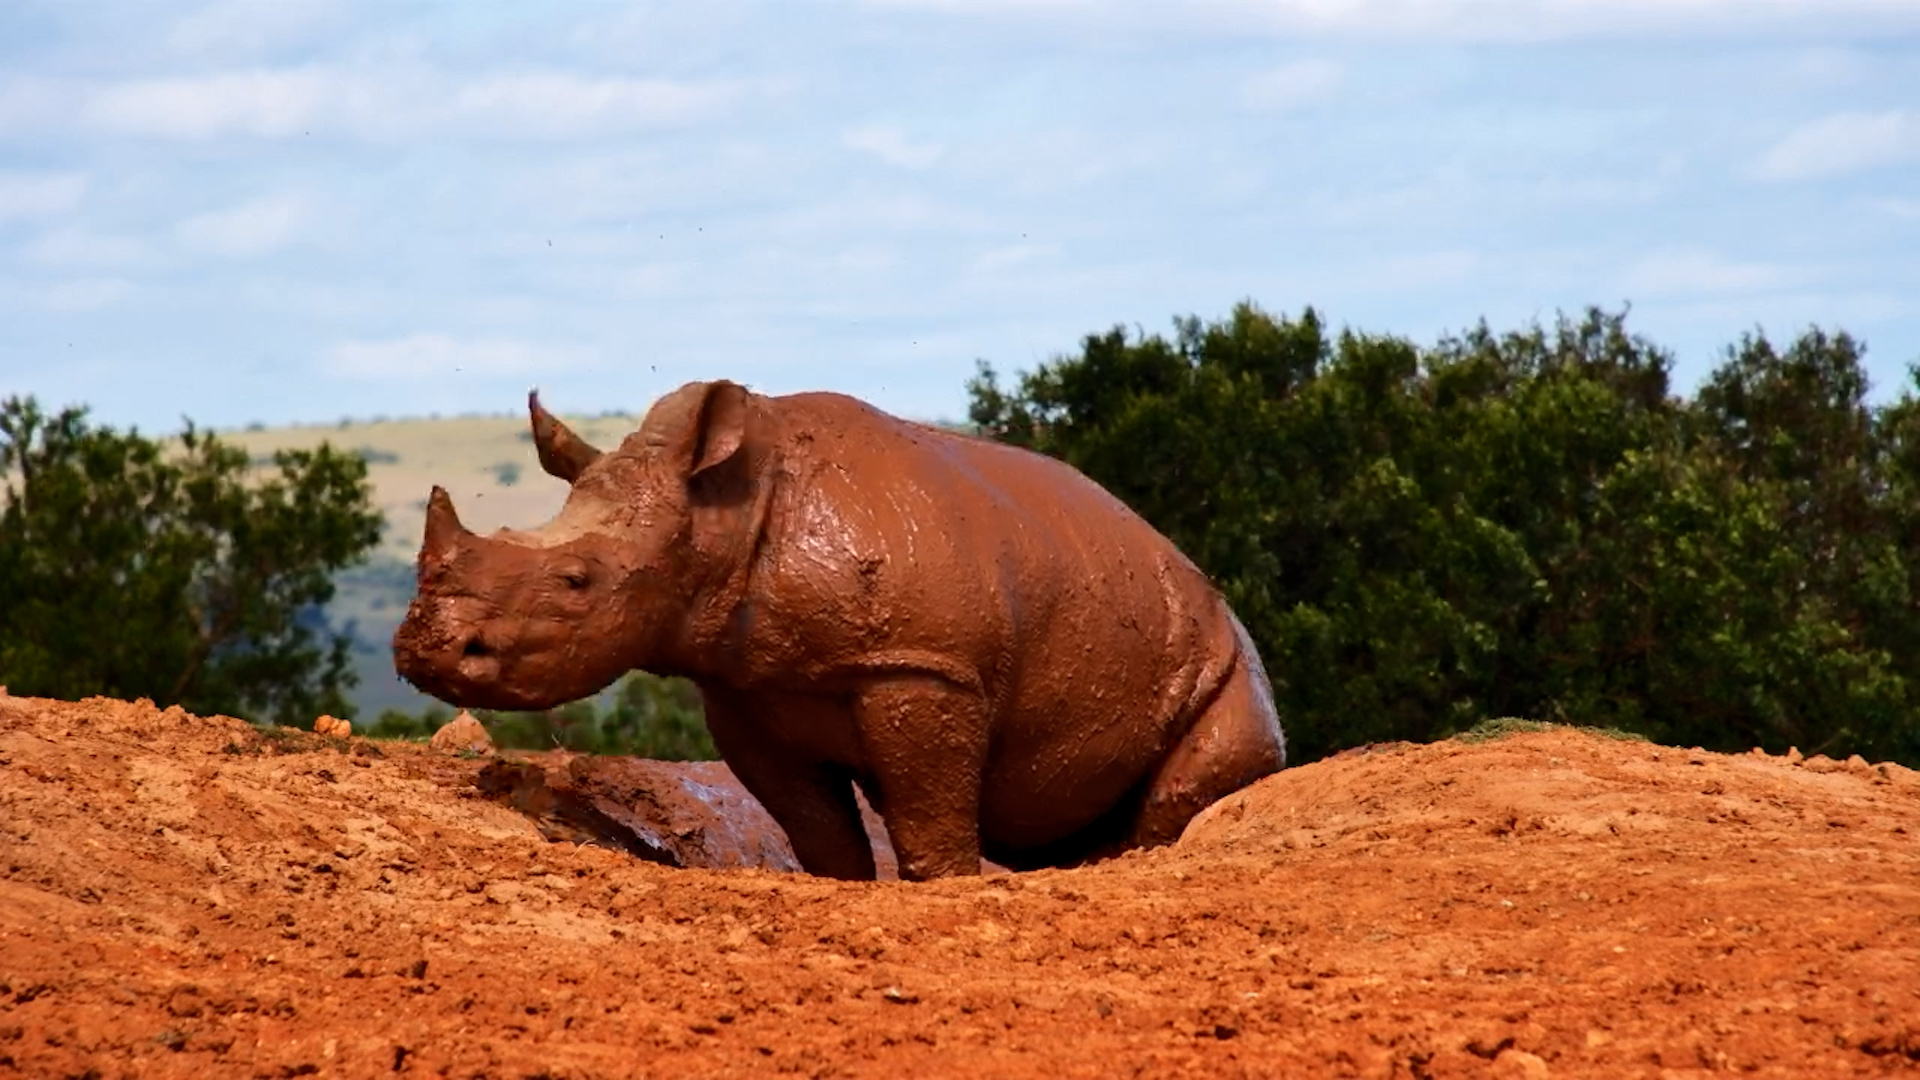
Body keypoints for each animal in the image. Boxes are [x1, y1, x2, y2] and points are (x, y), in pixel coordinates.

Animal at [392, 380, 1285, 881]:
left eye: (578, 582)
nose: (423, 652)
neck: (725, 512)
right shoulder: (743, 689)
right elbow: (817, 829)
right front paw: (846, 886)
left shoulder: (922, 665)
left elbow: (929, 812)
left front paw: (947, 885)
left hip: (1229, 659)